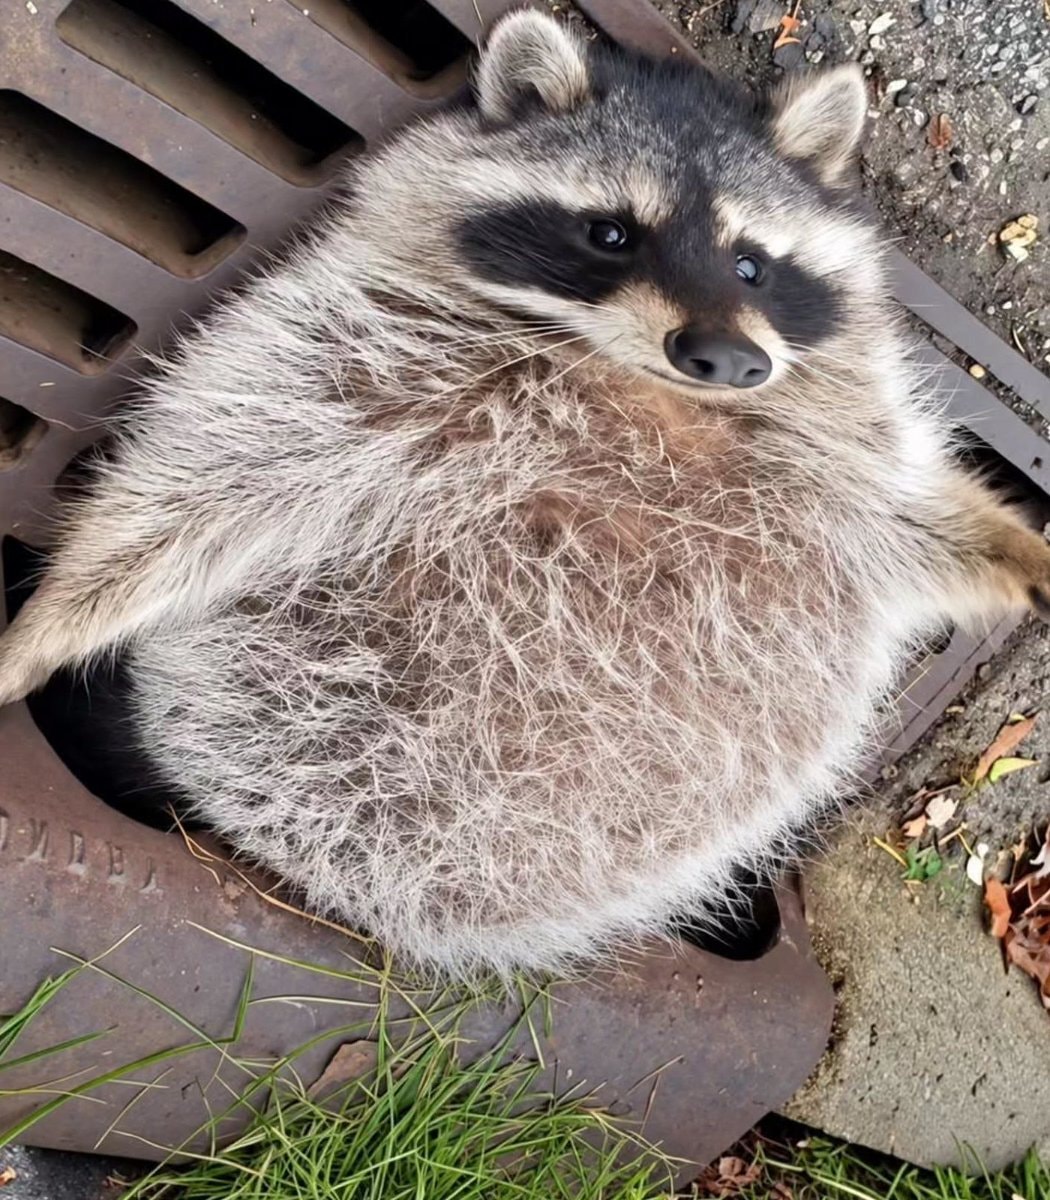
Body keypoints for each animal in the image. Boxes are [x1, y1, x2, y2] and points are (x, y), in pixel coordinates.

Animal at [2, 10, 1049, 977]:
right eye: (611, 233)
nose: (726, 357)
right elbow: (218, 465)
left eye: (752, 261)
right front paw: (57, 615)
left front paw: (1010, 544)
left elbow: (905, 514)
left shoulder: (825, 451)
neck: (653, 393)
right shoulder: (372, 345)